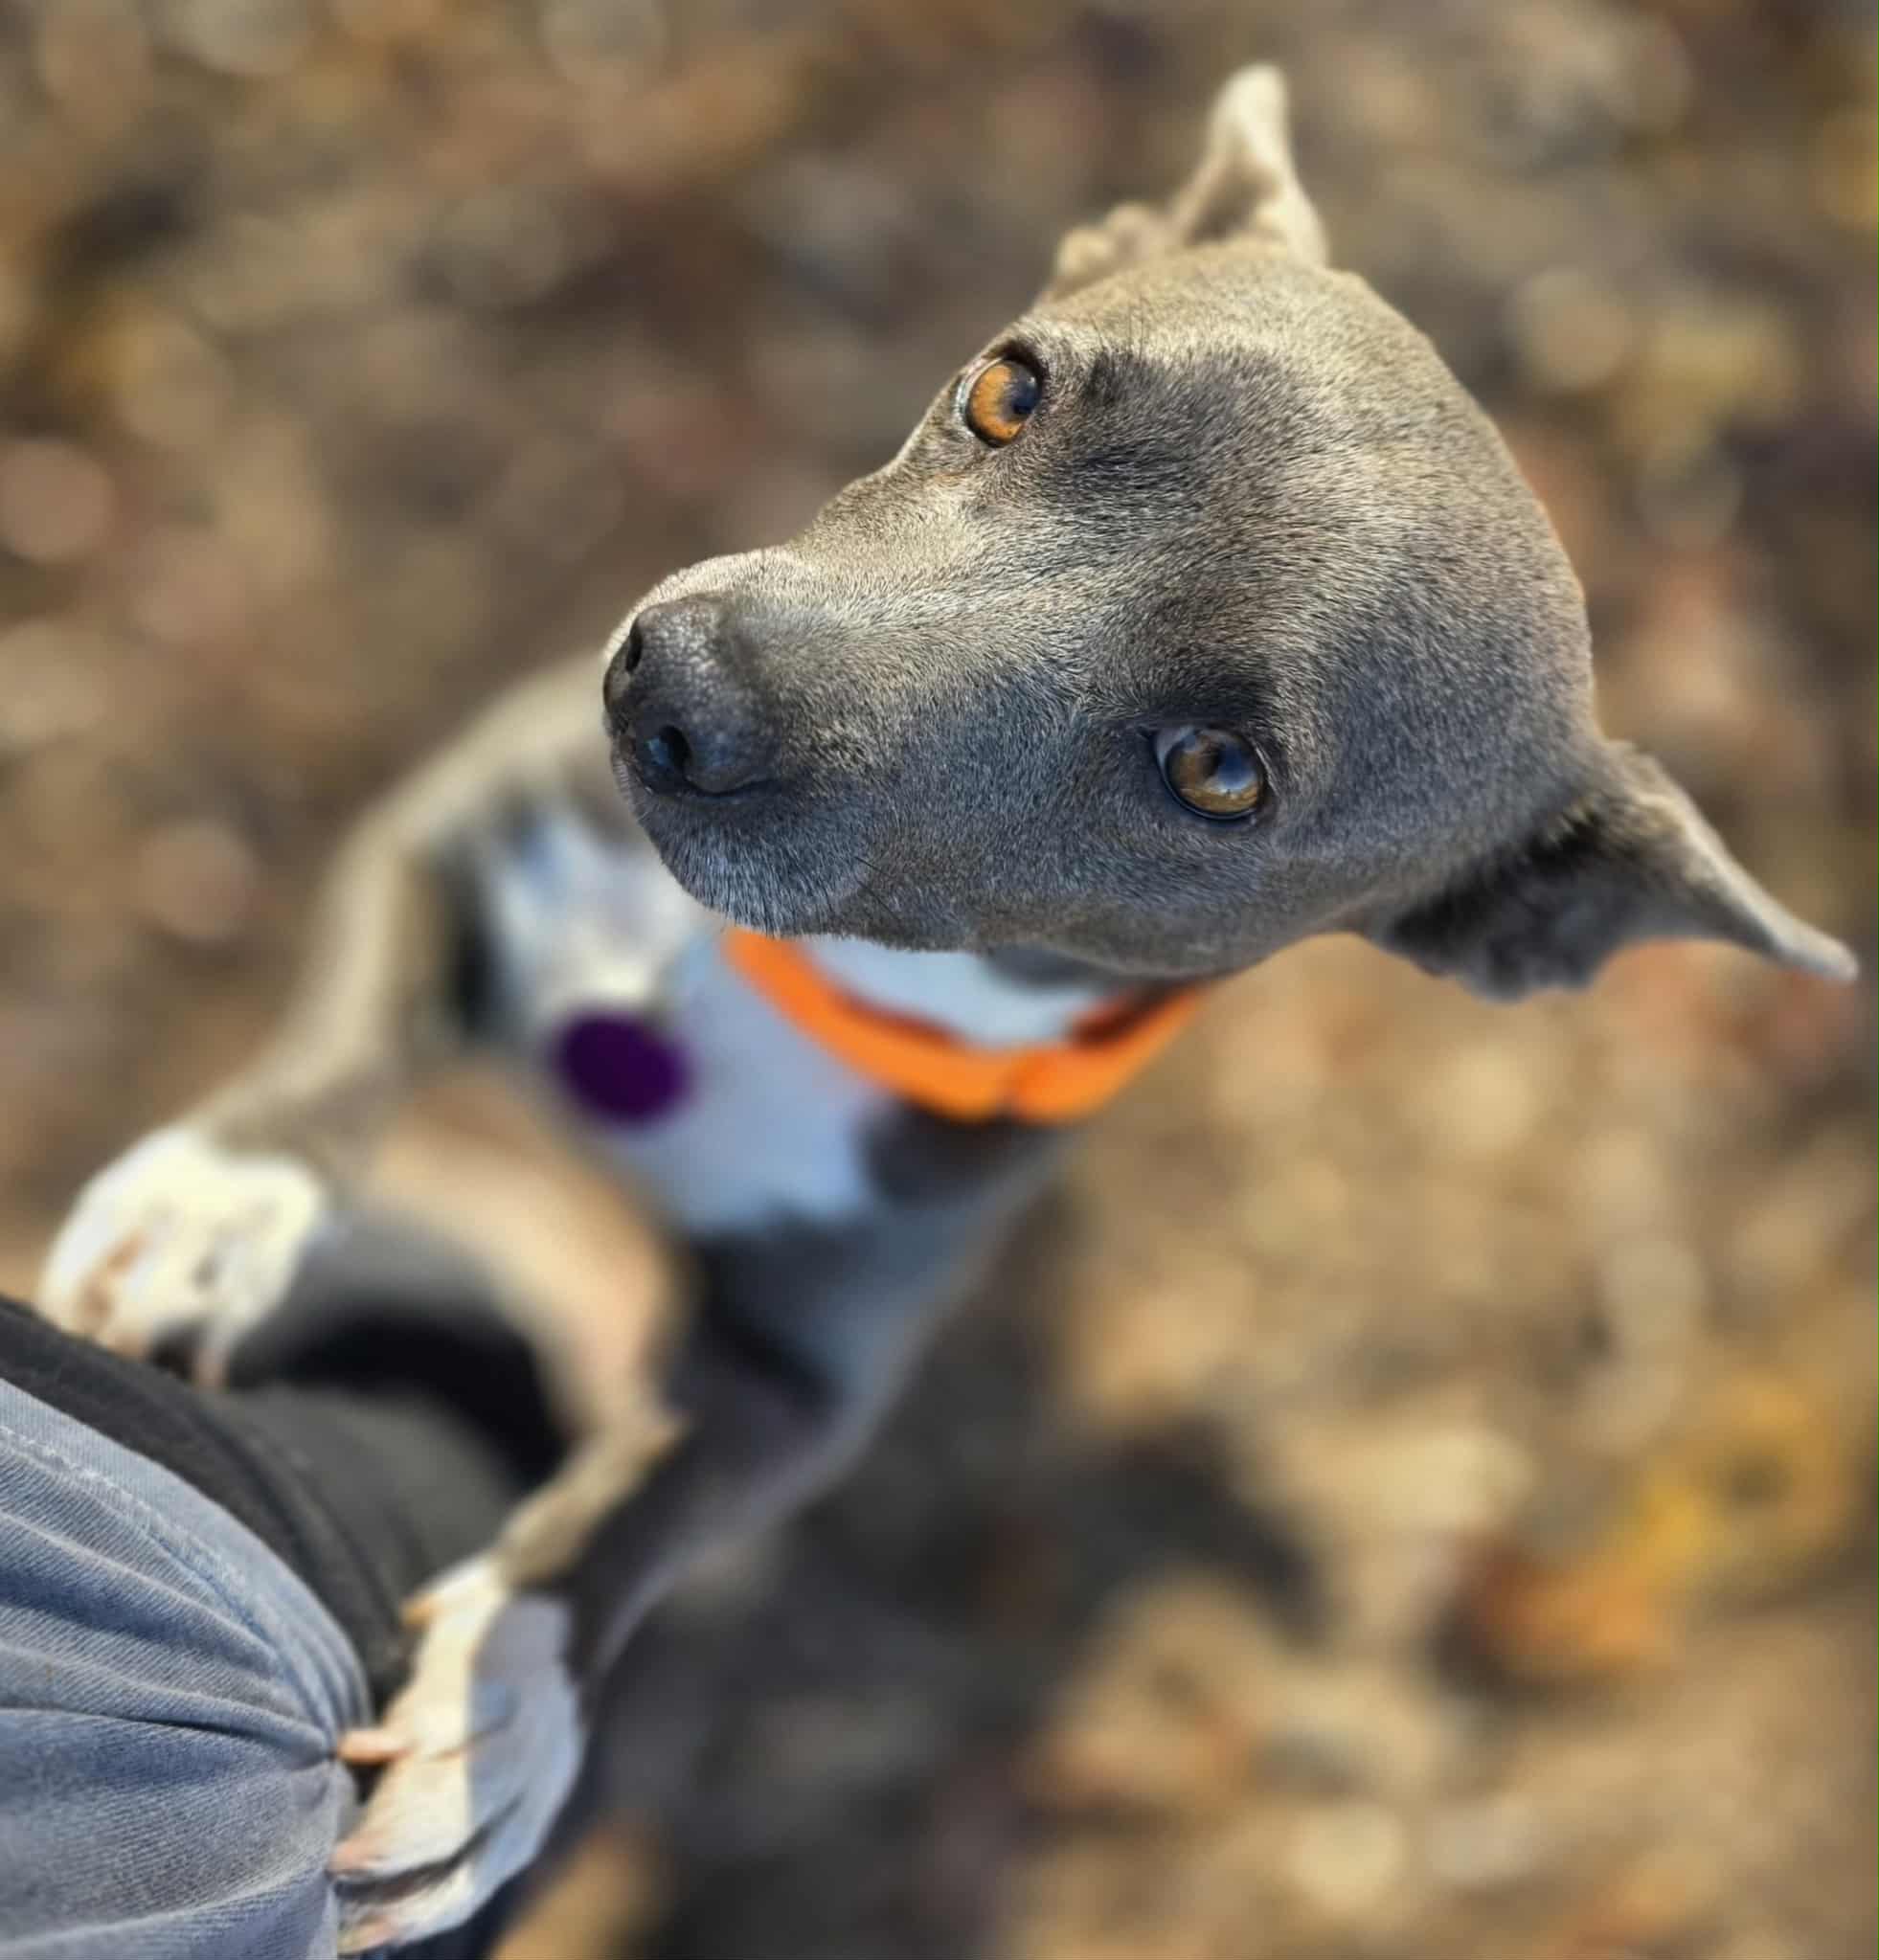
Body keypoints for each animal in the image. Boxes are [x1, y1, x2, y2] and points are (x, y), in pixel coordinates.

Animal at [38, 66, 1853, 1948]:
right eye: (1006, 387)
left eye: (1219, 774)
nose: (676, 687)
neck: (755, 985)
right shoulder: (451, 824)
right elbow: (352, 1032)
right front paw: (213, 1206)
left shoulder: (805, 1374)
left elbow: (658, 1486)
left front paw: (503, 1703)